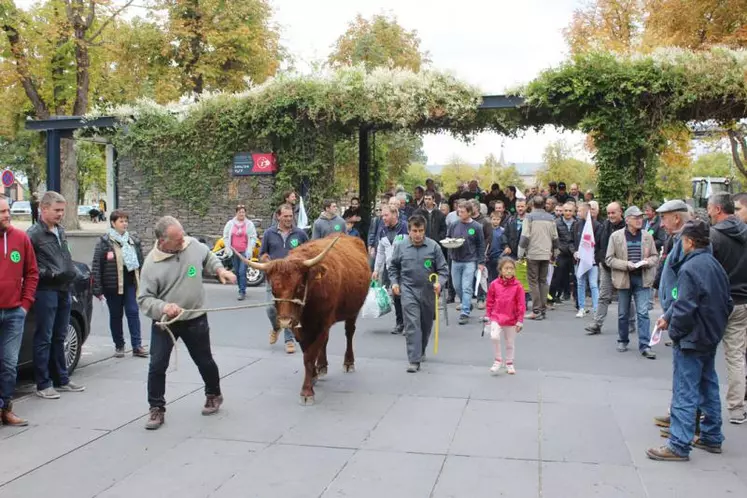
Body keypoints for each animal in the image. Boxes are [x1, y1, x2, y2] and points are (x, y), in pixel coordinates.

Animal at [240, 234, 368, 404]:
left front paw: (307, 392)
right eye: (273, 290)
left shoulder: (322, 324)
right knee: (326, 342)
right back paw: (321, 366)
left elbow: (310, 355)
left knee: (349, 332)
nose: (285, 321)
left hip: (353, 311)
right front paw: (313, 376)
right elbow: (307, 353)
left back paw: (348, 362)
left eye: (299, 287)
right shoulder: (299, 328)